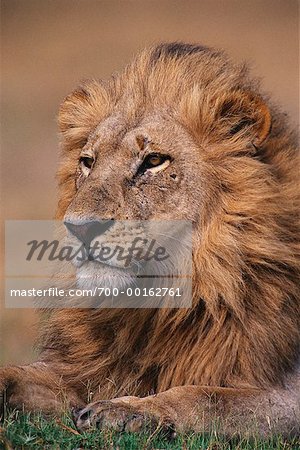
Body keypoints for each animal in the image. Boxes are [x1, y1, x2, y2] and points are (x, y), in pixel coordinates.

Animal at [0, 42, 300, 436]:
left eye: (154, 160)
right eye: (87, 162)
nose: (79, 228)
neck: (159, 307)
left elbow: (206, 396)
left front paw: (127, 409)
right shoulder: (78, 369)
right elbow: (17, 375)